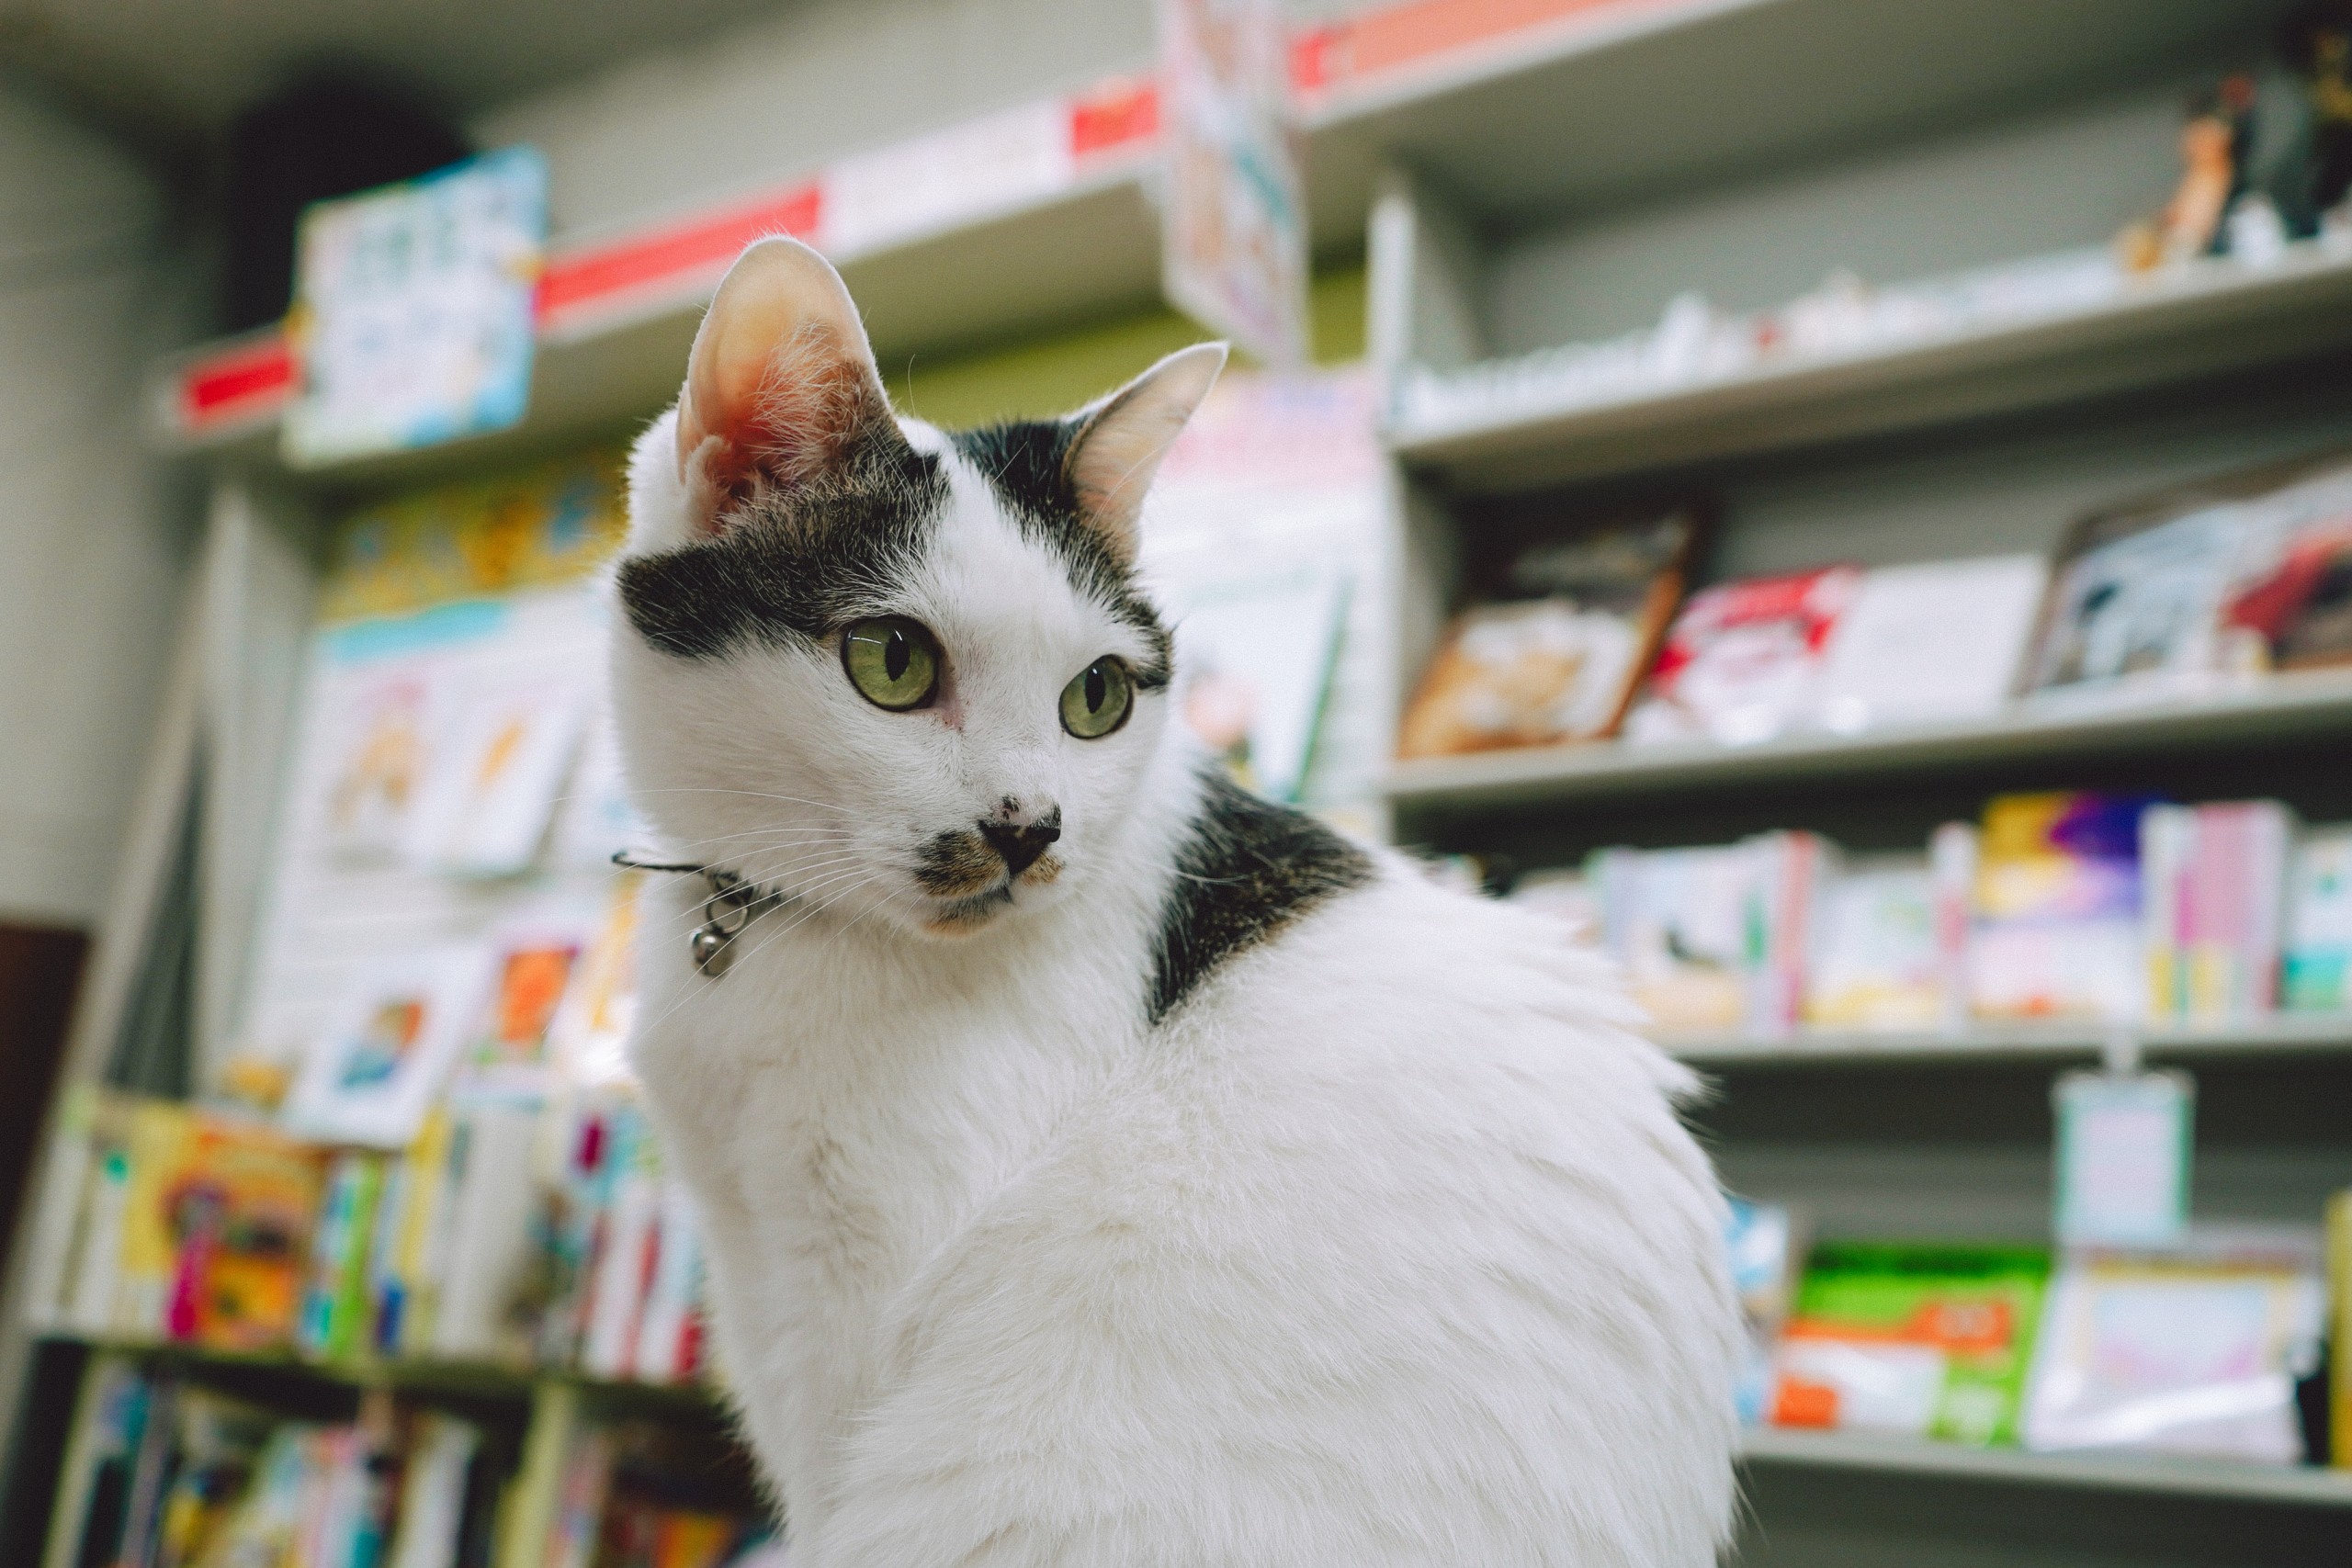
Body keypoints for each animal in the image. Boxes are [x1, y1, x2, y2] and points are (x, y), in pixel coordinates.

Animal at [606, 236, 1749, 1568]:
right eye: (891, 662)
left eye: (1095, 697)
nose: (1030, 825)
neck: (775, 924)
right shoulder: (748, 1259)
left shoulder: (851, 1305)